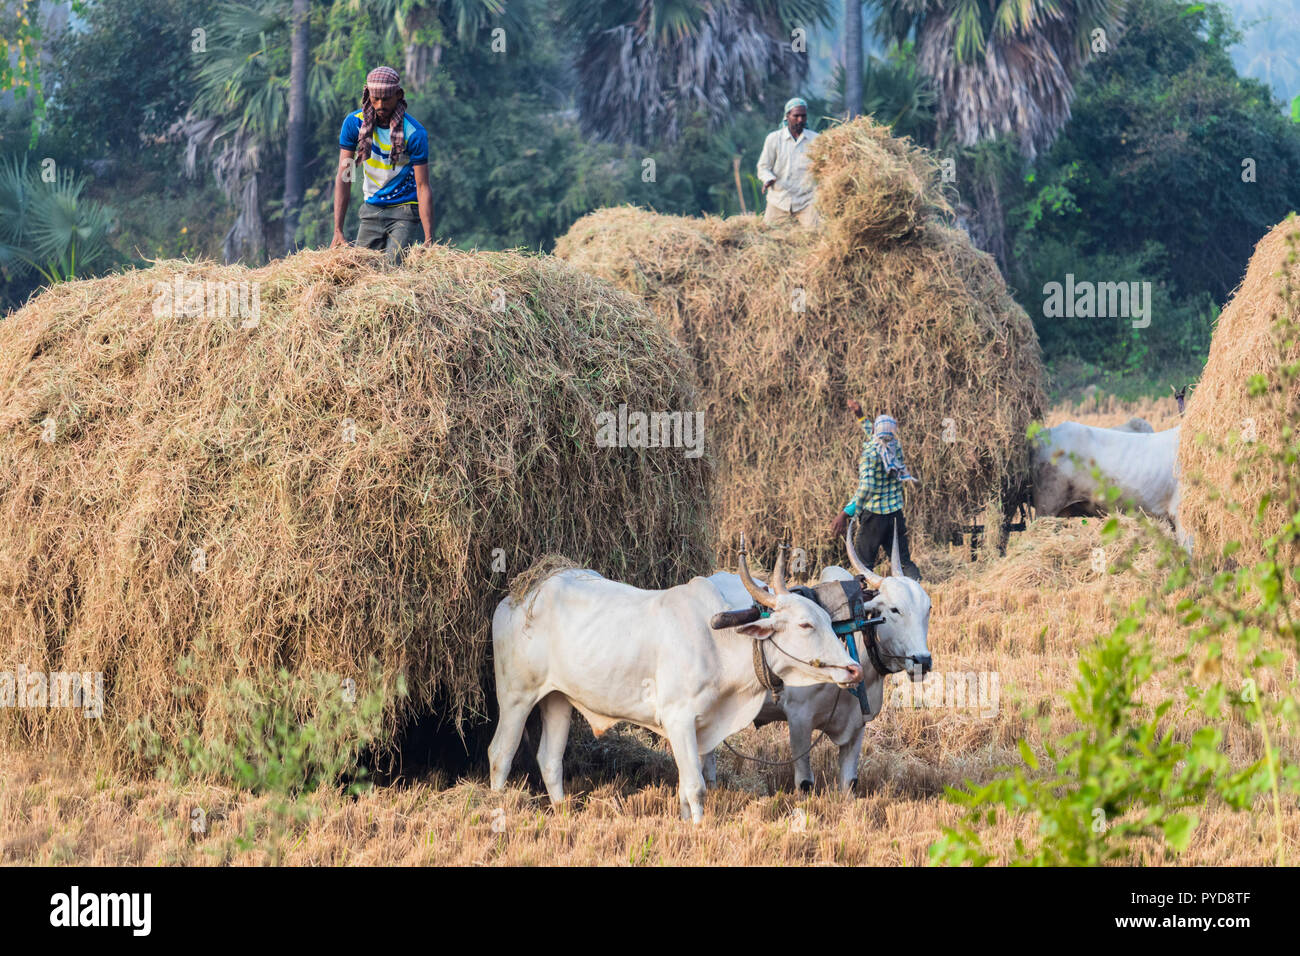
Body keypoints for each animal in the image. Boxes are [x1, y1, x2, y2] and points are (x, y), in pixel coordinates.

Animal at [488, 538, 863, 822]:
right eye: (805, 624)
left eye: (826, 618)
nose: (853, 670)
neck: (719, 644)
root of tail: (519, 595)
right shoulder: (678, 719)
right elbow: (695, 787)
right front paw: (697, 831)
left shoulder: (697, 729)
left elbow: (685, 787)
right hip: (516, 696)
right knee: (500, 754)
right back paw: (498, 811)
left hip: (558, 699)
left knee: (550, 760)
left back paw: (563, 814)